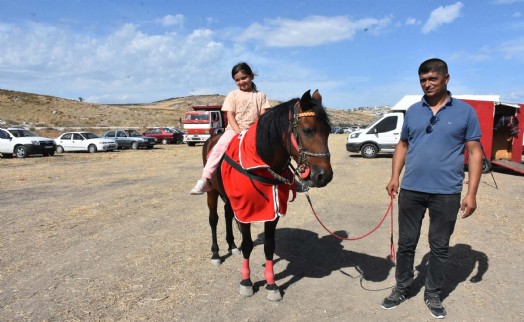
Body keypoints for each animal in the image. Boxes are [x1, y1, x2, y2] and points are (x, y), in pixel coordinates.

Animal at [201, 89, 332, 300]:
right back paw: (216, 254)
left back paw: (232, 246)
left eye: (328, 130)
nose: (324, 176)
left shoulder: (273, 211)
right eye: (308, 130)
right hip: (212, 191)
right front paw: (246, 282)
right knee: (214, 219)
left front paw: (271, 284)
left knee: (228, 214)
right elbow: (247, 244)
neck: (260, 163)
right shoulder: (246, 211)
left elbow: (269, 246)